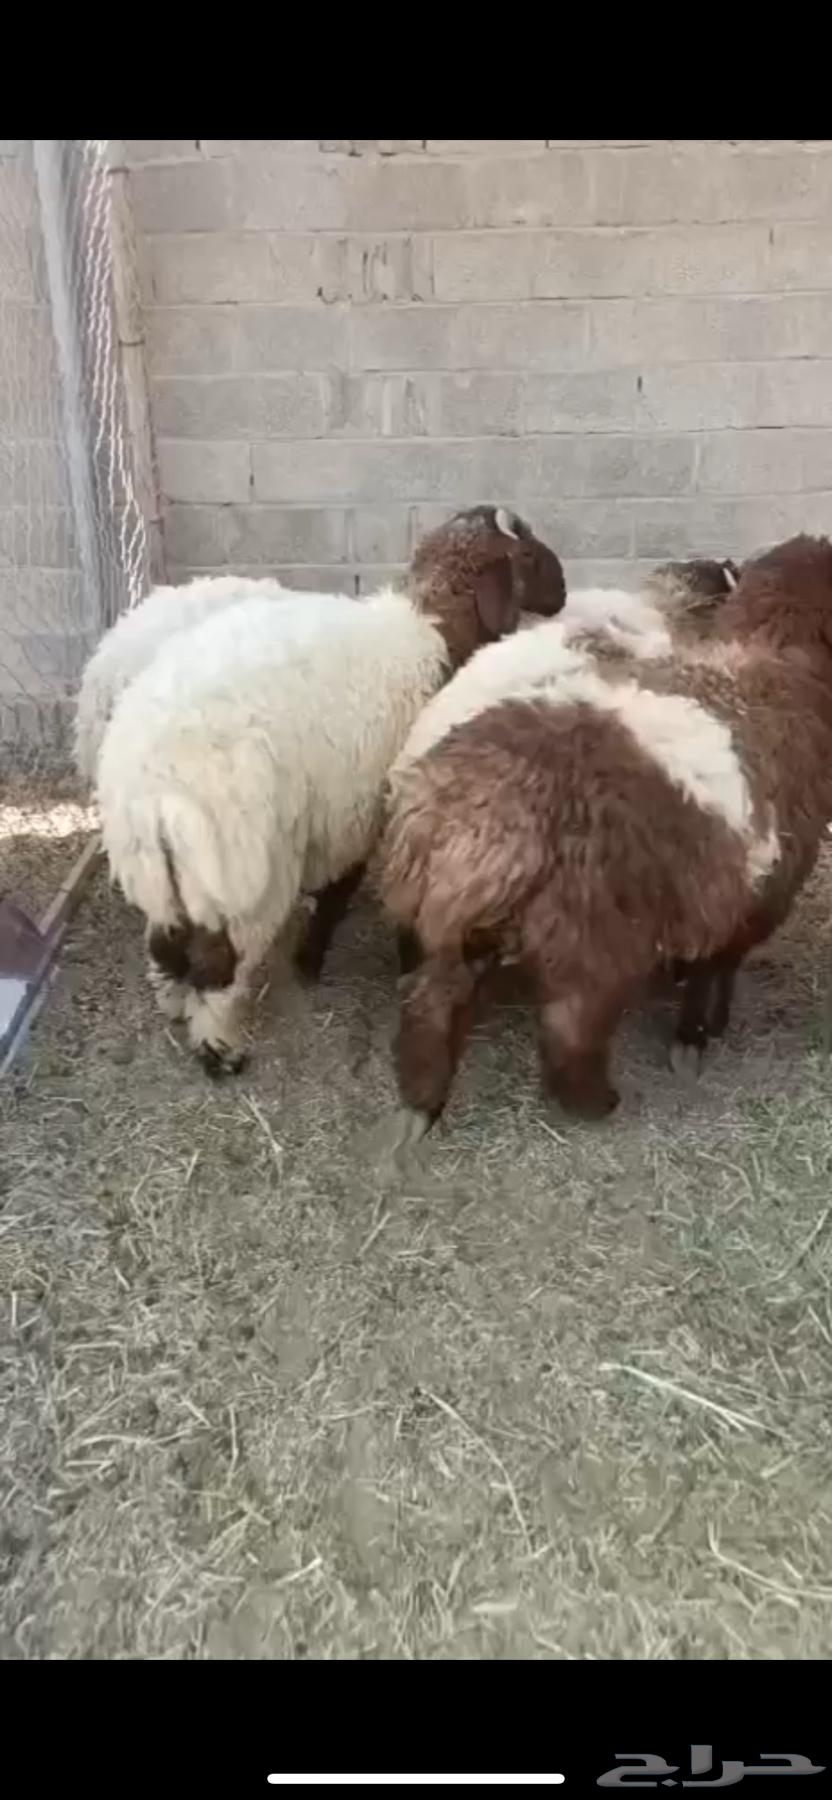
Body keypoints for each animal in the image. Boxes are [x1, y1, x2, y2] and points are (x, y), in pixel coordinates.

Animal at [96, 506, 566, 1076]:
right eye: (526, 554)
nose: (563, 590)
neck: (432, 633)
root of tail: (156, 782)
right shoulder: (358, 812)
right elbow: (341, 888)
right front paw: (312, 961)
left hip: (161, 871)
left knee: (165, 944)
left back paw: (172, 1004)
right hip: (241, 869)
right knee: (218, 964)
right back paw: (221, 1049)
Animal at [378, 535, 832, 1134]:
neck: (769, 667)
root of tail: (481, 821)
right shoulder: (763, 885)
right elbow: (719, 963)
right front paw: (699, 1032)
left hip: (460, 923)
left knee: (431, 1000)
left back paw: (421, 1101)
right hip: (593, 934)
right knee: (569, 1028)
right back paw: (595, 1100)